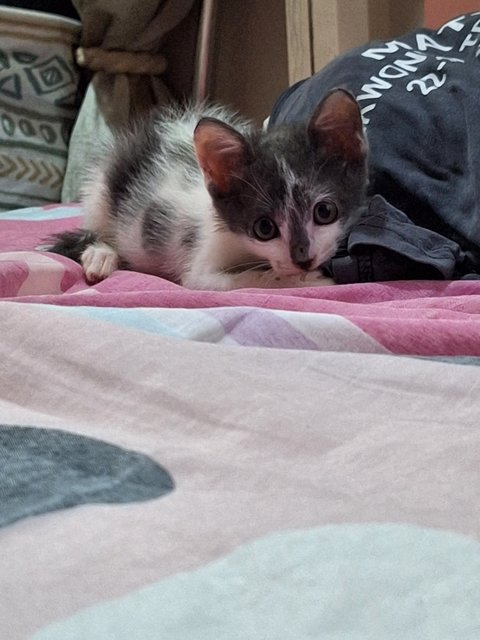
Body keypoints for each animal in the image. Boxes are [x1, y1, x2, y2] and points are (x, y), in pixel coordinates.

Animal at [46, 89, 368, 290]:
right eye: (264, 228)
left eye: (324, 211)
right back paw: (100, 255)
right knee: (97, 227)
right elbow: (236, 280)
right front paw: (296, 280)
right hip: (100, 187)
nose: (303, 260)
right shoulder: (200, 264)